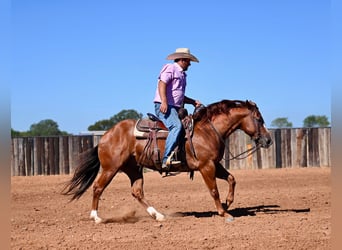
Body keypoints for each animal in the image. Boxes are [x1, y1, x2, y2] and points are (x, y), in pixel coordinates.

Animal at [62, 99, 272, 223]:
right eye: (259, 119)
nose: (268, 140)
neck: (208, 130)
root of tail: (106, 136)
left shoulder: (215, 164)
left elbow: (231, 179)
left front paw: (227, 203)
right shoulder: (206, 166)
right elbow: (213, 190)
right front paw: (224, 213)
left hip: (134, 169)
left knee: (137, 192)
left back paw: (158, 215)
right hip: (110, 168)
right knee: (98, 187)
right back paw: (96, 217)